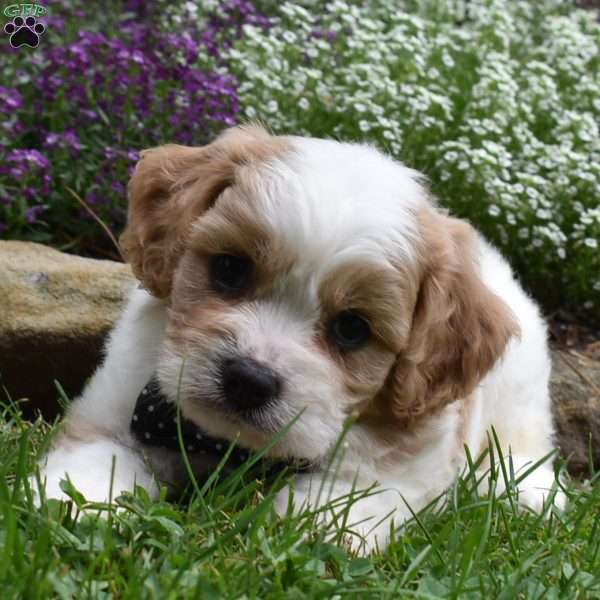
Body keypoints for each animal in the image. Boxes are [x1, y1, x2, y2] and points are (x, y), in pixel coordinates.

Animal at [36, 124, 564, 552]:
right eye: (230, 269)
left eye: (352, 328)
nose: (248, 380)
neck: (230, 447)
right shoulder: (115, 407)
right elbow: (95, 462)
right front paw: (75, 503)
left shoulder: (403, 470)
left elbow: (340, 502)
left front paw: (304, 534)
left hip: (519, 398)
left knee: (523, 445)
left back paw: (528, 496)